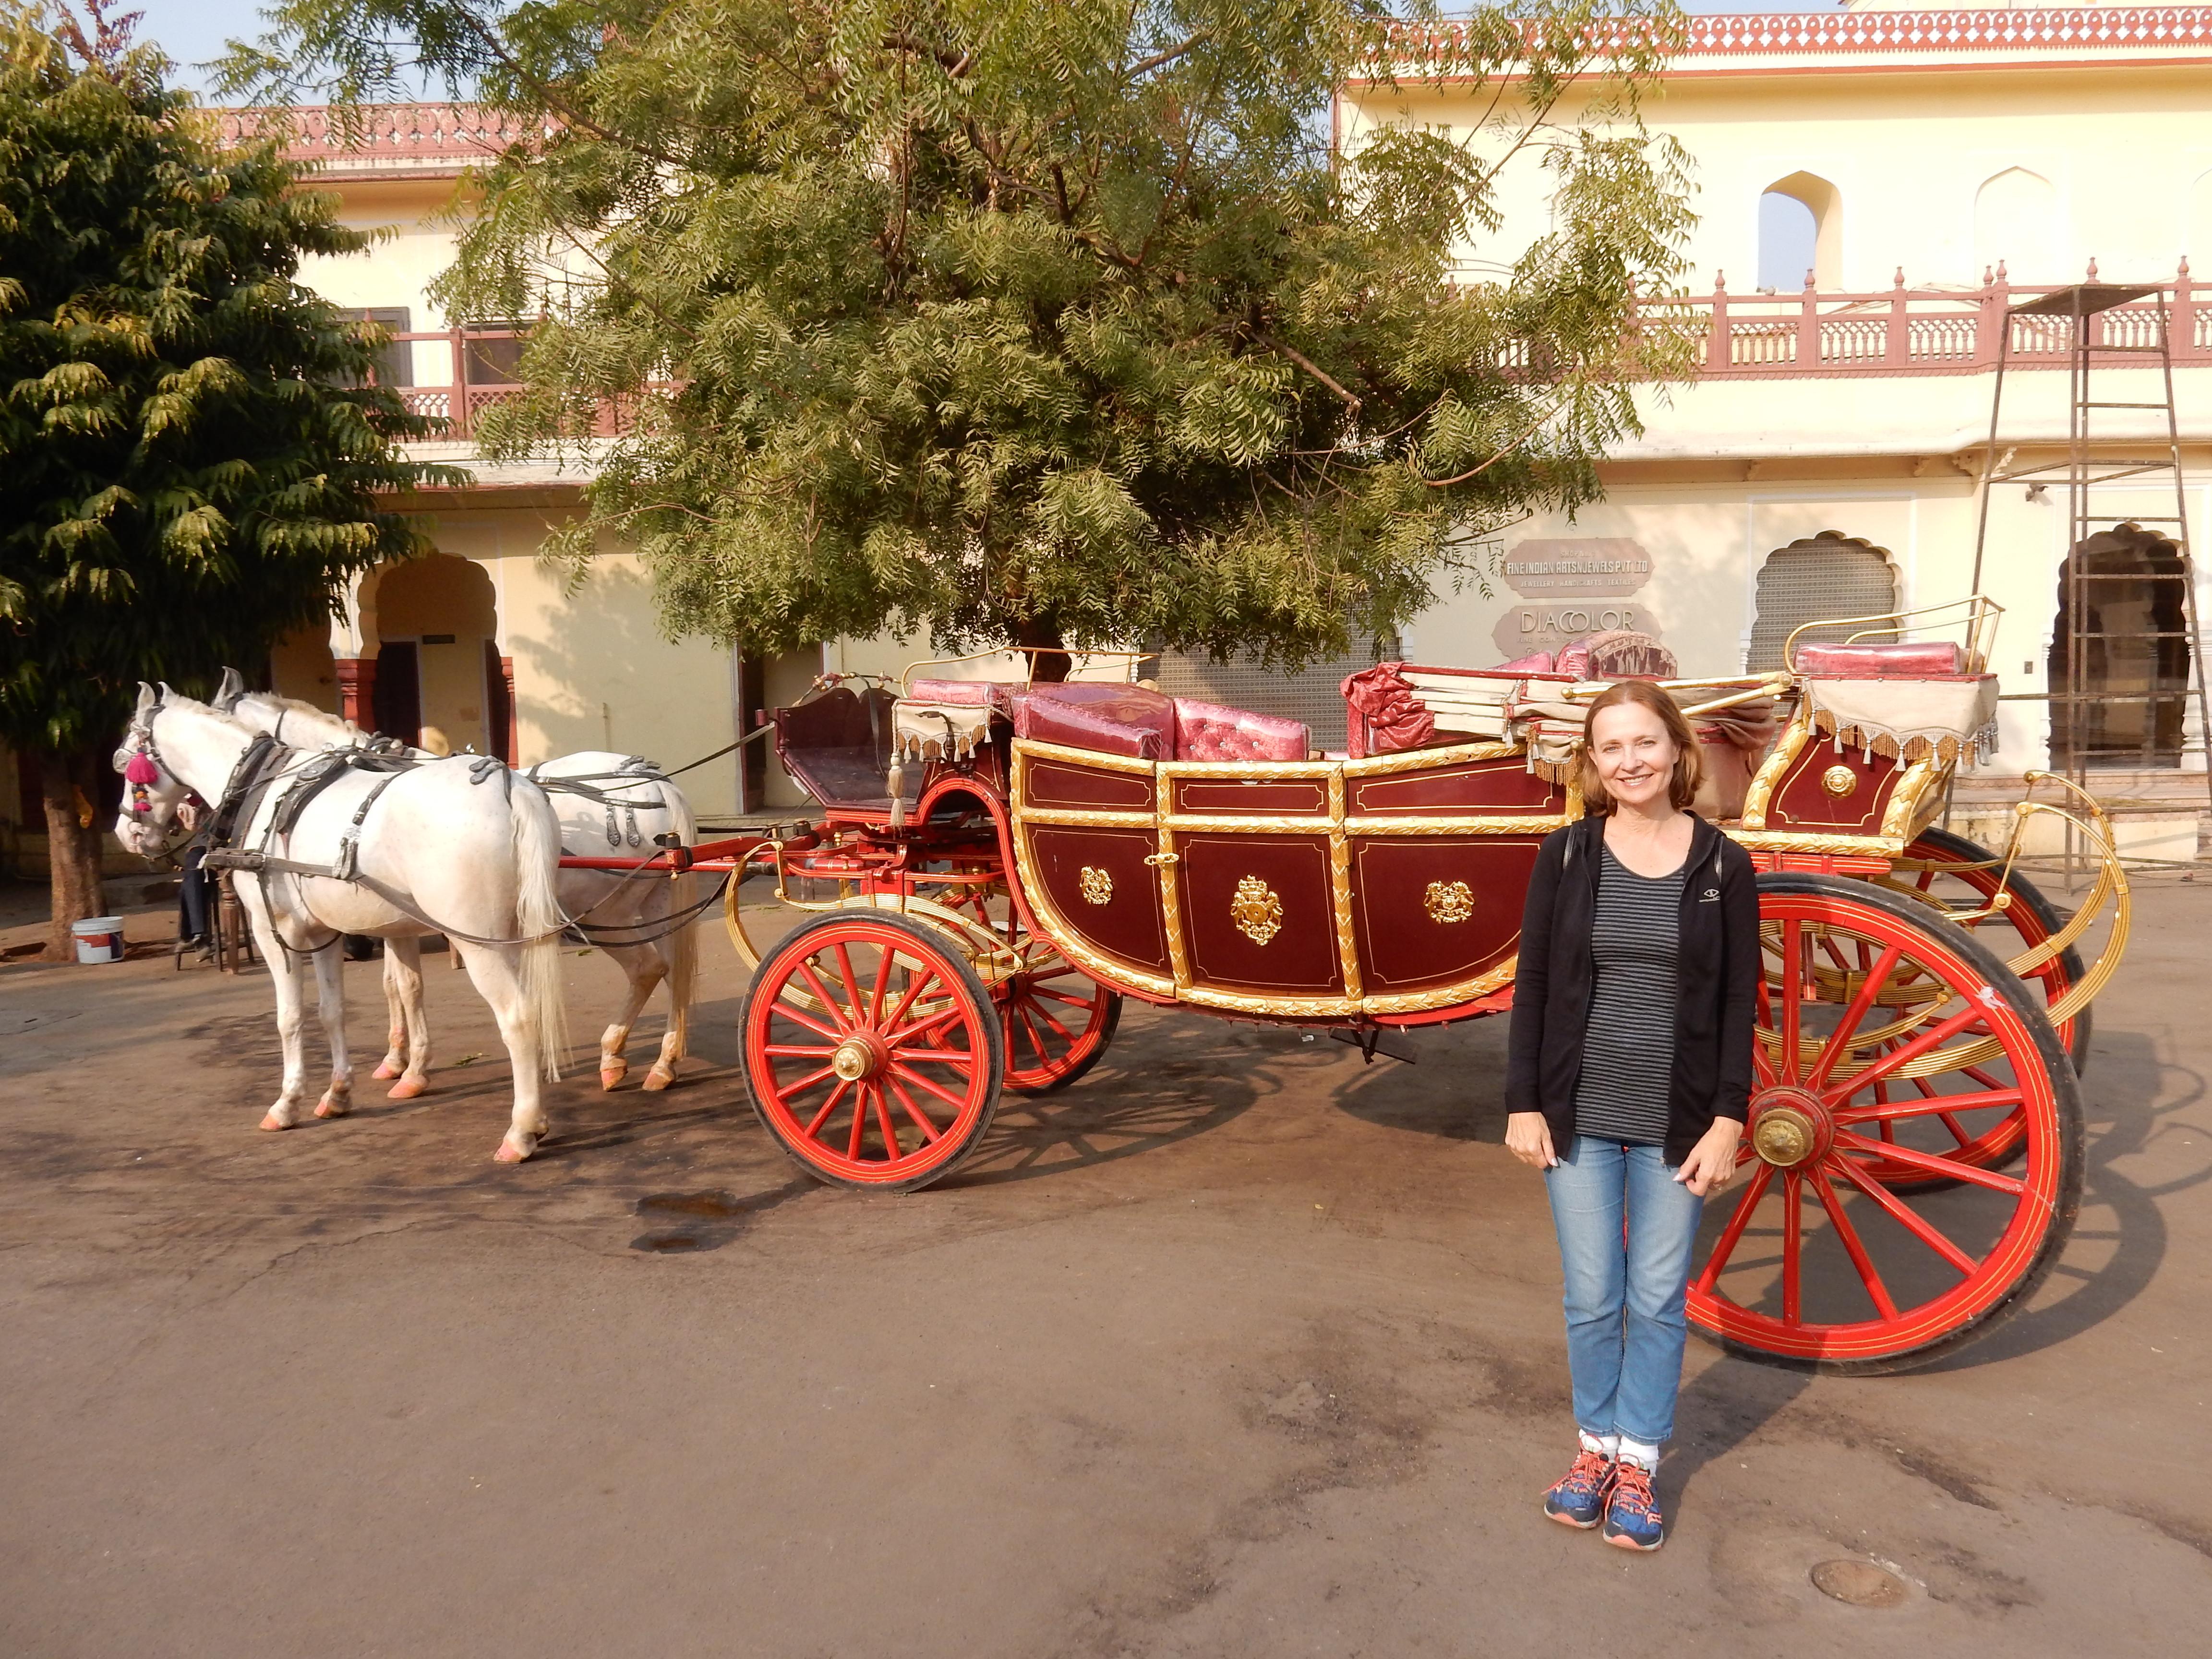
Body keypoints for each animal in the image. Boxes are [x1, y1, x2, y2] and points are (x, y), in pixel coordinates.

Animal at [113, 684, 572, 1163]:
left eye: (122, 763)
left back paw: (521, 1130)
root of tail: (509, 786)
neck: (266, 791)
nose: (127, 834)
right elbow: (335, 1010)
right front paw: (339, 1092)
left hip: (478, 941)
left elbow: (291, 1017)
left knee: (518, 1017)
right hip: (512, 933)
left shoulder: (276, 933)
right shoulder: (326, 932)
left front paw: (287, 1102)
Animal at [208, 670, 698, 1098]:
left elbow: (400, 986)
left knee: (650, 968)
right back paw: (662, 1061)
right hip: (654, 904)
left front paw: (404, 1064)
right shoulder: (396, 922)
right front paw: (399, 1059)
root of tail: (656, 785)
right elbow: (397, 983)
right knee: (673, 970)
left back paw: (621, 1056)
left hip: (605, 915)